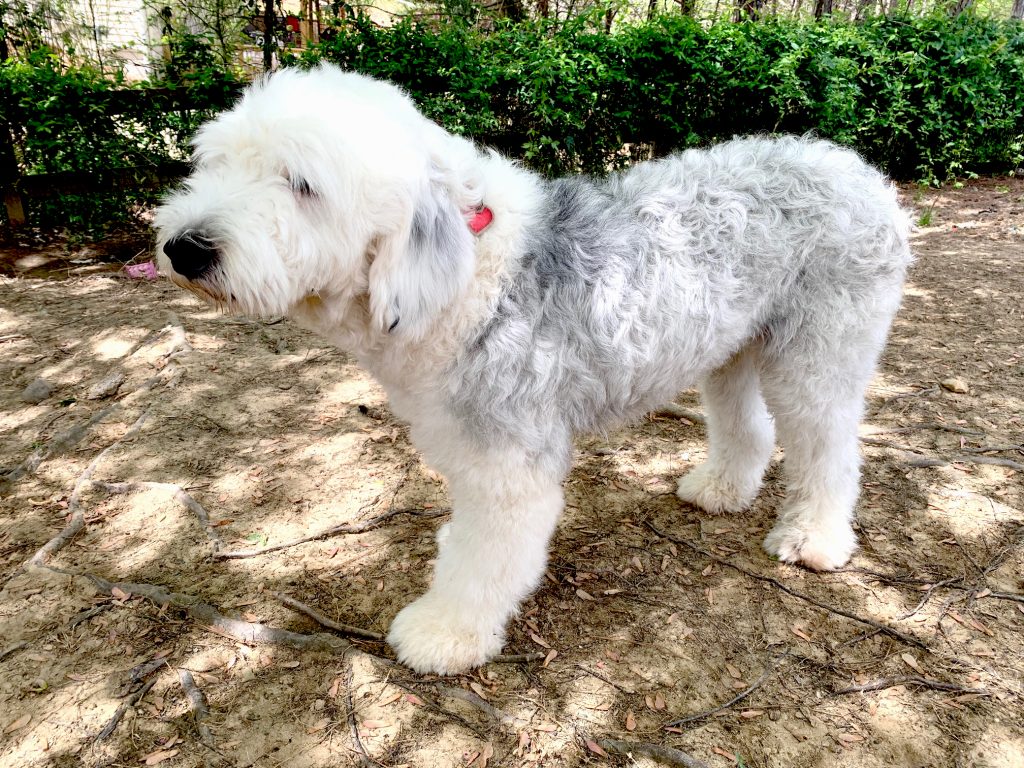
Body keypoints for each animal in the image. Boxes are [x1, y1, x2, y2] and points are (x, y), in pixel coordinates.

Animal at [153, 63, 913, 675]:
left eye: (302, 184)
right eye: (215, 163)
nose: (183, 247)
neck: (462, 270)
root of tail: (855, 168)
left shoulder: (507, 460)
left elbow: (487, 558)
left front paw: (443, 632)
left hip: (818, 354)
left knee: (829, 449)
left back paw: (814, 538)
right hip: (731, 347)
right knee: (749, 429)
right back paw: (722, 488)